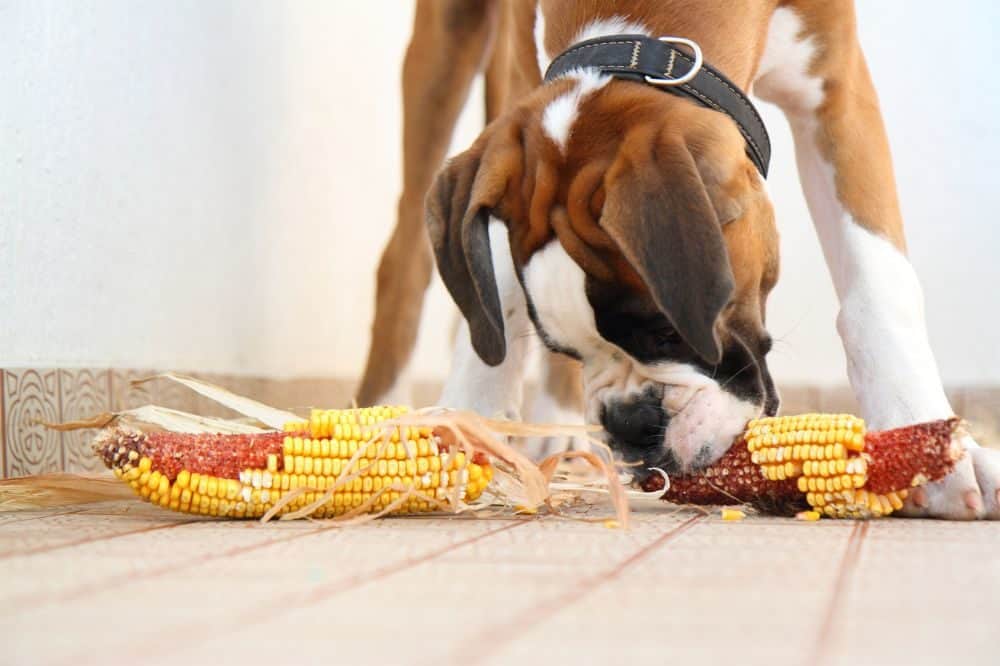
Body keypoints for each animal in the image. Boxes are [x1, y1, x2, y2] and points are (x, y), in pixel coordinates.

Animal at [356, 0, 996, 520]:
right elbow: (501, 303)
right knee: (402, 265)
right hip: (447, 44)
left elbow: (877, 289)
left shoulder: (837, 89)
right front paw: (471, 418)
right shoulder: (519, 94)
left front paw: (929, 448)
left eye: (668, 332)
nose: (630, 424)